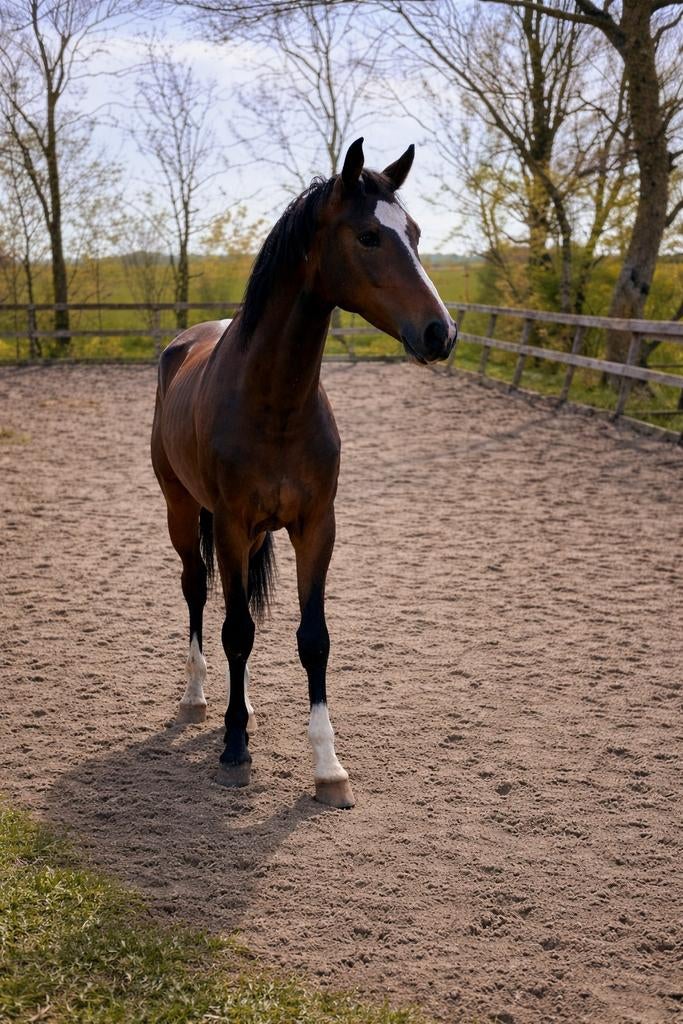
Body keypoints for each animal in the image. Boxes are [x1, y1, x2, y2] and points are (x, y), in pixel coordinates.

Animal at [151, 138, 457, 809]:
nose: (441, 333)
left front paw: (328, 766)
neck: (275, 403)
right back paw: (198, 699)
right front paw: (234, 750)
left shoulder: (317, 526)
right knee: (197, 593)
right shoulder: (231, 525)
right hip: (183, 512)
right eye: (369, 235)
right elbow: (237, 630)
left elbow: (311, 639)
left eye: (415, 233)